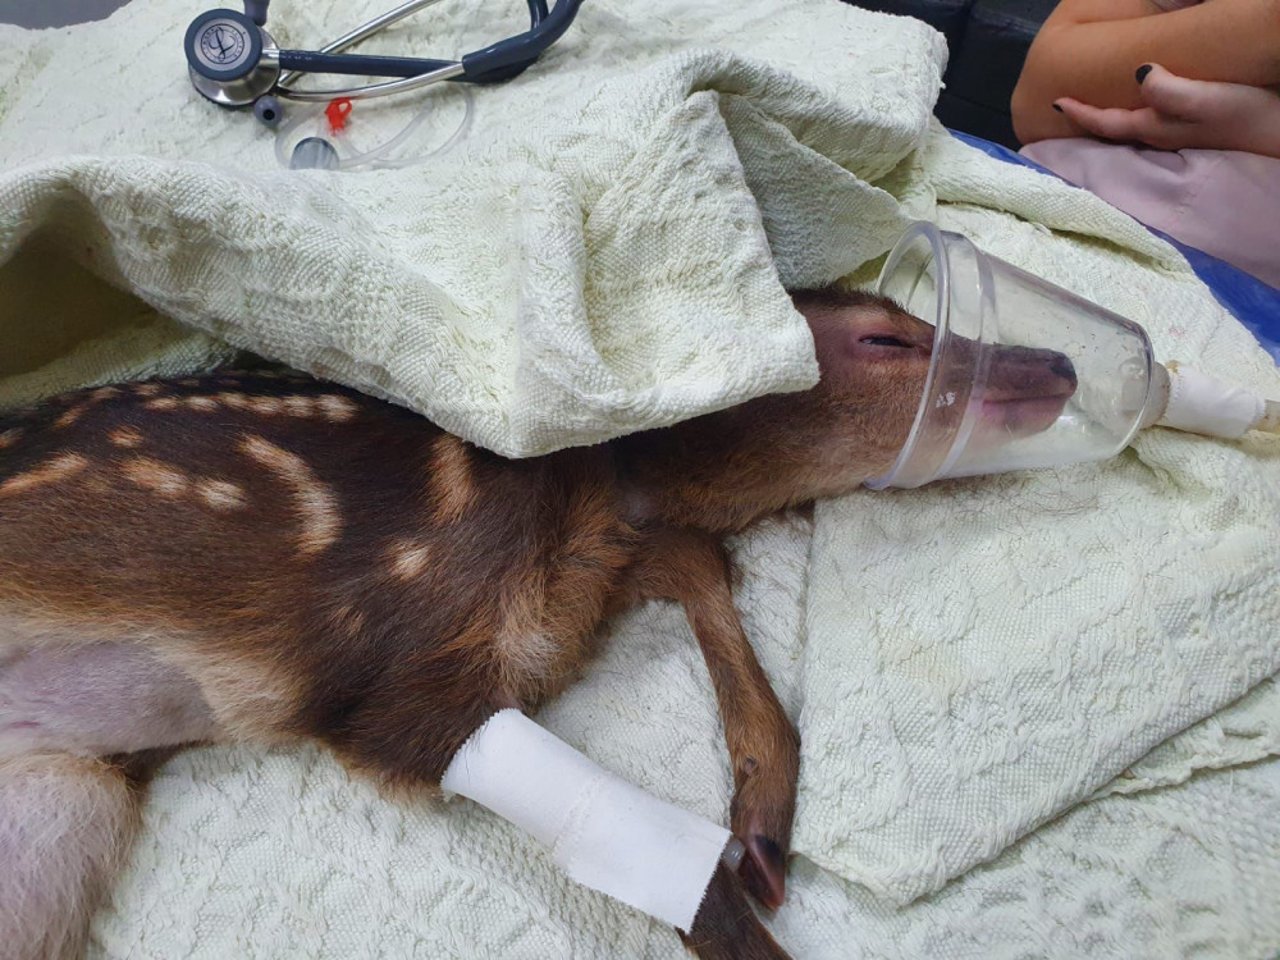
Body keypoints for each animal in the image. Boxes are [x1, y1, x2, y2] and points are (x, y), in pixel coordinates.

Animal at [0, 289, 1080, 957]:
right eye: (881, 338)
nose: (1062, 362)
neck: (585, 498)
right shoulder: (405, 676)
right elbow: (673, 870)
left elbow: (700, 560)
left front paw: (765, 824)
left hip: (64, 802)